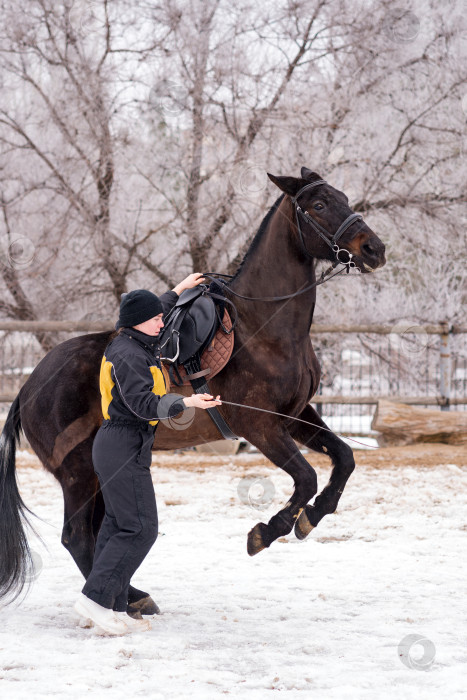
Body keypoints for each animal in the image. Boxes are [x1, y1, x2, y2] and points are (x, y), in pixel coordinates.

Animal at [0, 168, 386, 612]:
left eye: (344, 197)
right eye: (319, 205)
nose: (374, 248)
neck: (265, 327)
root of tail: (28, 386)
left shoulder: (295, 416)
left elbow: (344, 459)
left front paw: (312, 516)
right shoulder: (260, 426)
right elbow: (306, 478)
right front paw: (266, 531)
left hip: (97, 475)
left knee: (97, 535)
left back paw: (132, 597)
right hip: (78, 474)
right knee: (78, 537)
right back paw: (124, 601)